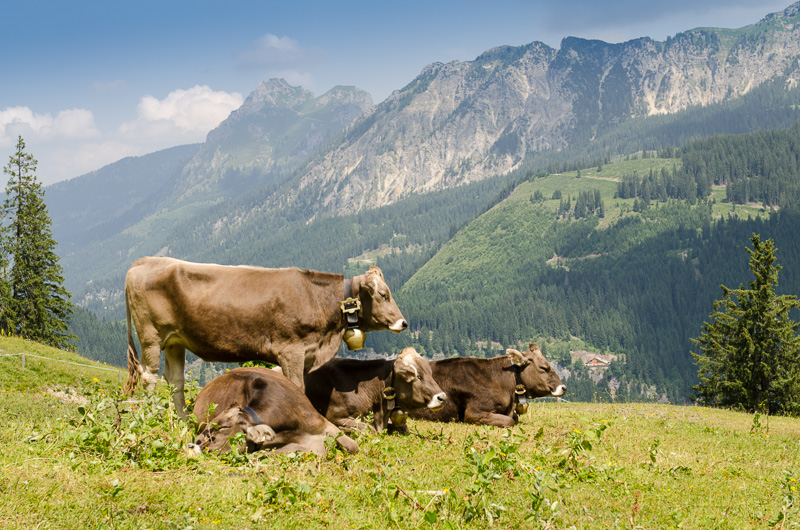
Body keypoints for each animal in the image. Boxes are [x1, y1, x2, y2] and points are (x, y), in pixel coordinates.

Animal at [124, 256, 406, 412]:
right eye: (384, 295)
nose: (403, 323)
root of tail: (145, 260)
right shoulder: (291, 350)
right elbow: (297, 387)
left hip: (175, 341)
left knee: (175, 380)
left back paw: (182, 422)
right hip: (151, 336)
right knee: (148, 377)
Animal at [304, 344, 446, 432]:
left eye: (430, 373)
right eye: (417, 376)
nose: (443, 397)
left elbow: (403, 428)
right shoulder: (335, 415)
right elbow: (369, 429)